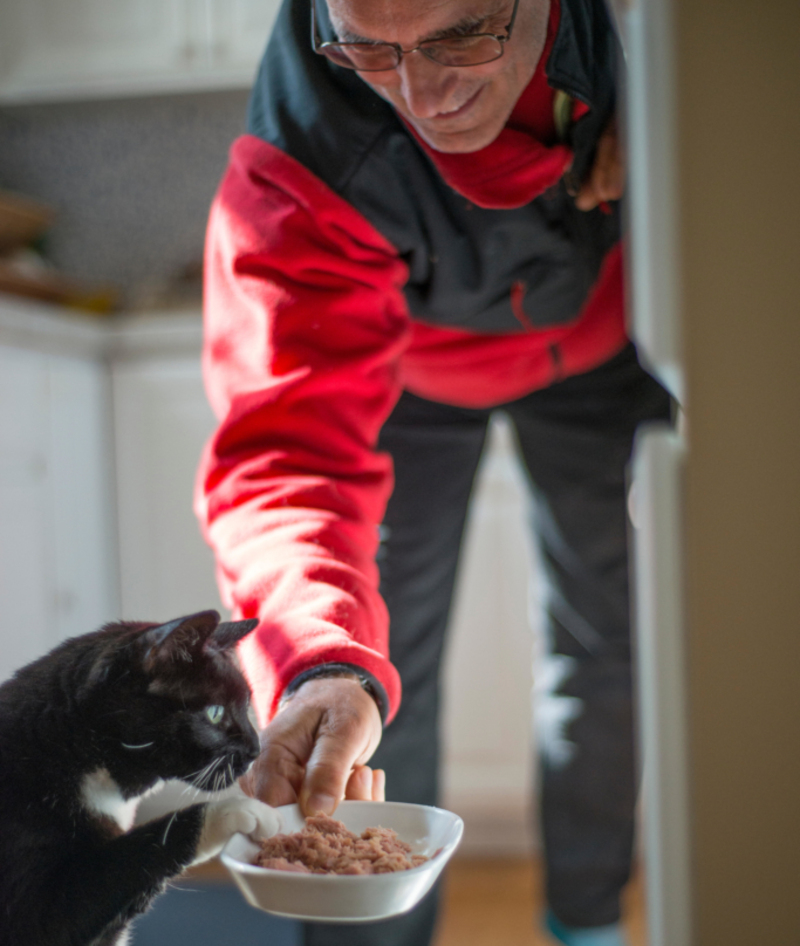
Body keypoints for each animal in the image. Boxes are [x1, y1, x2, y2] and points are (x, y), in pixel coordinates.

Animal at [0, 608, 282, 940]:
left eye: (246, 704)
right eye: (215, 713)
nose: (255, 749)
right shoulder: (34, 913)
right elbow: (141, 848)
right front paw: (235, 811)